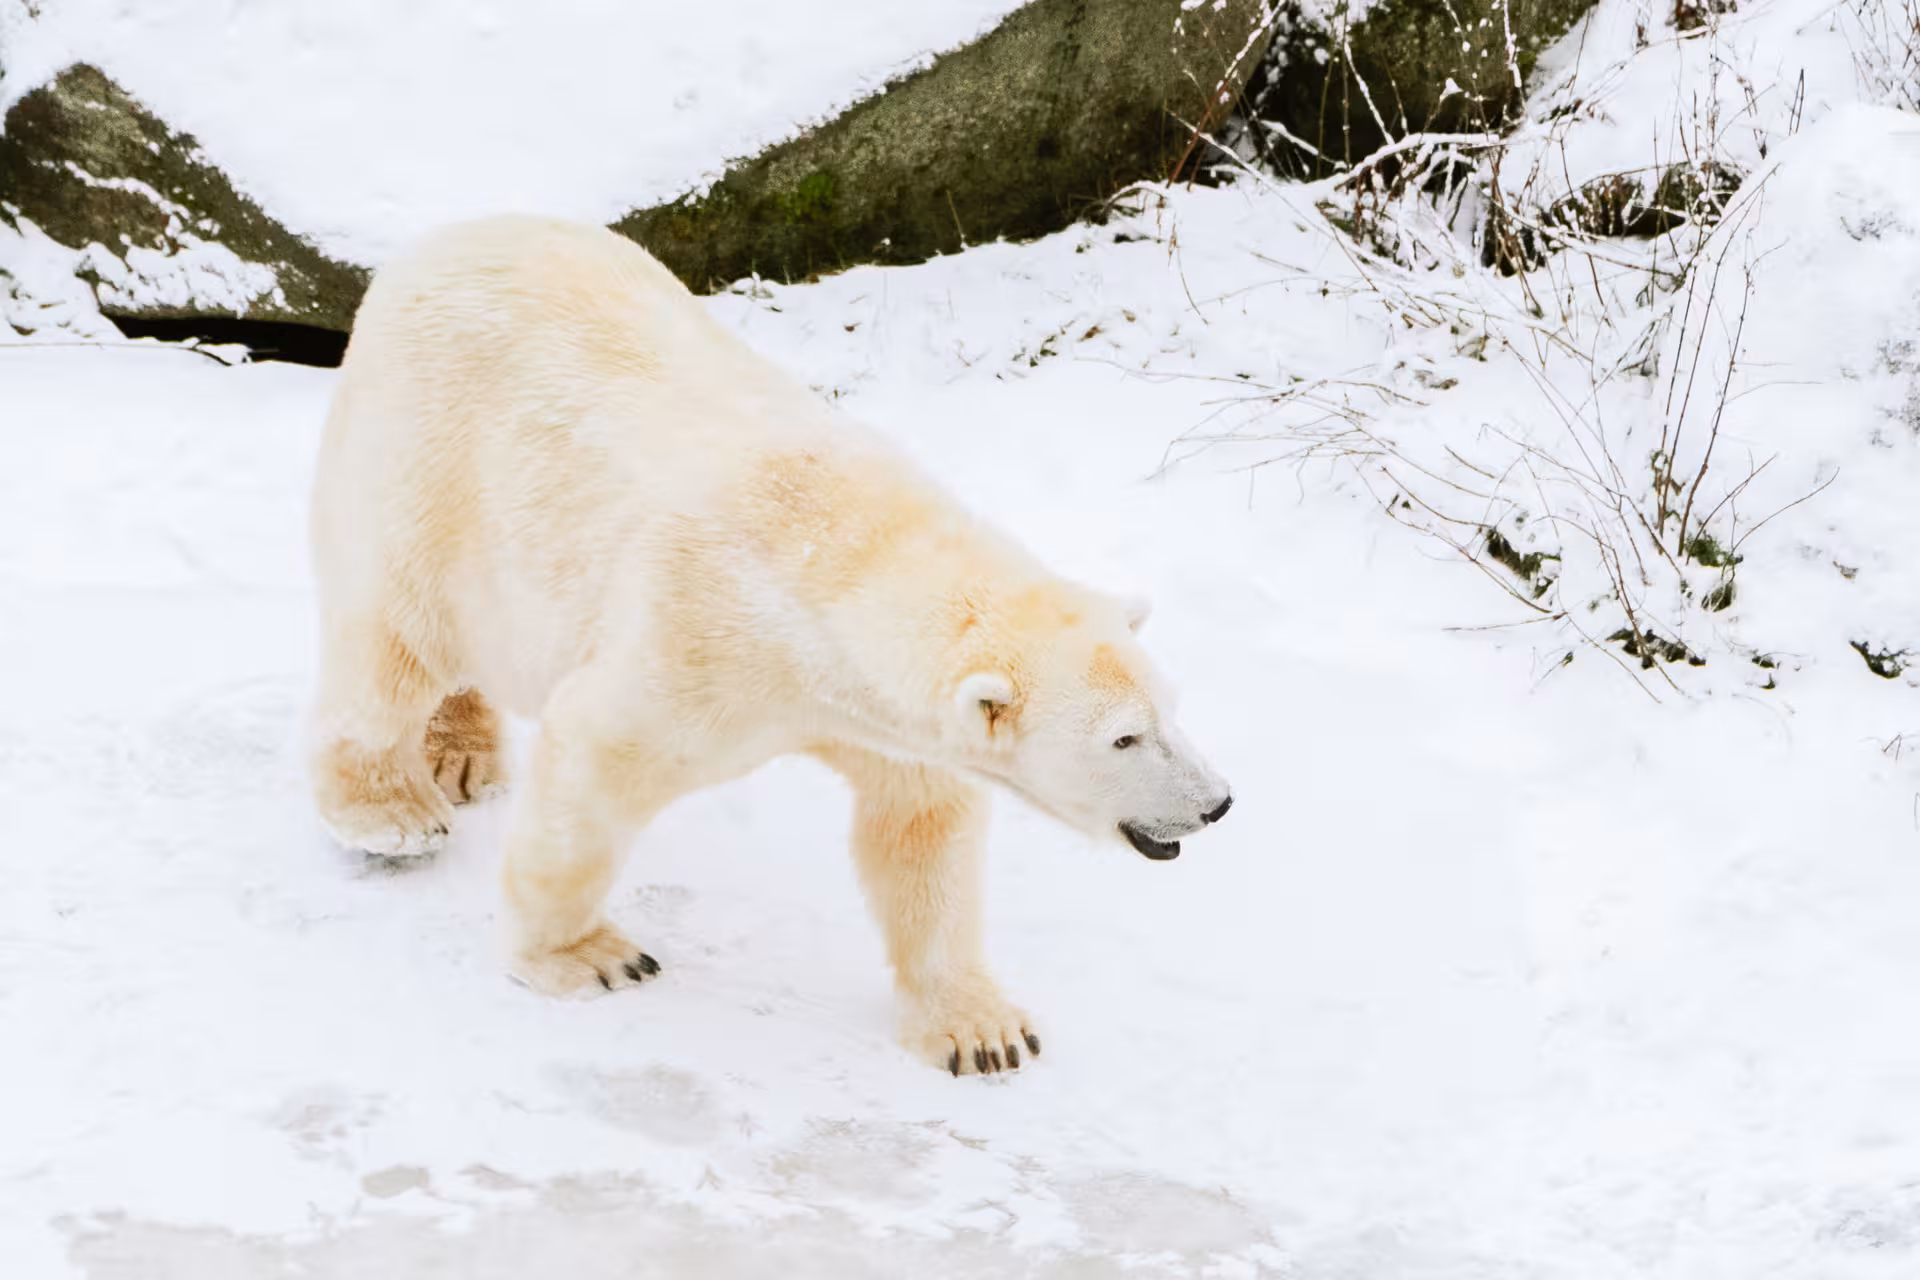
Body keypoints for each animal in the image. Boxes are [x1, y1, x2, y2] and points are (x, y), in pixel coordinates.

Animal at [307, 215, 1232, 1075]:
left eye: (1173, 707)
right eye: (1123, 738)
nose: (1215, 803)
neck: (828, 558)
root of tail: (434, 246)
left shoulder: (876, 713)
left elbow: (923, 826)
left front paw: (983, 1032)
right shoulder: (690, 641)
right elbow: (592, 766)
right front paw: (591, 958)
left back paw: (462, 757)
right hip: (428, 459)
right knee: (395, 635)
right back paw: (392, 813)